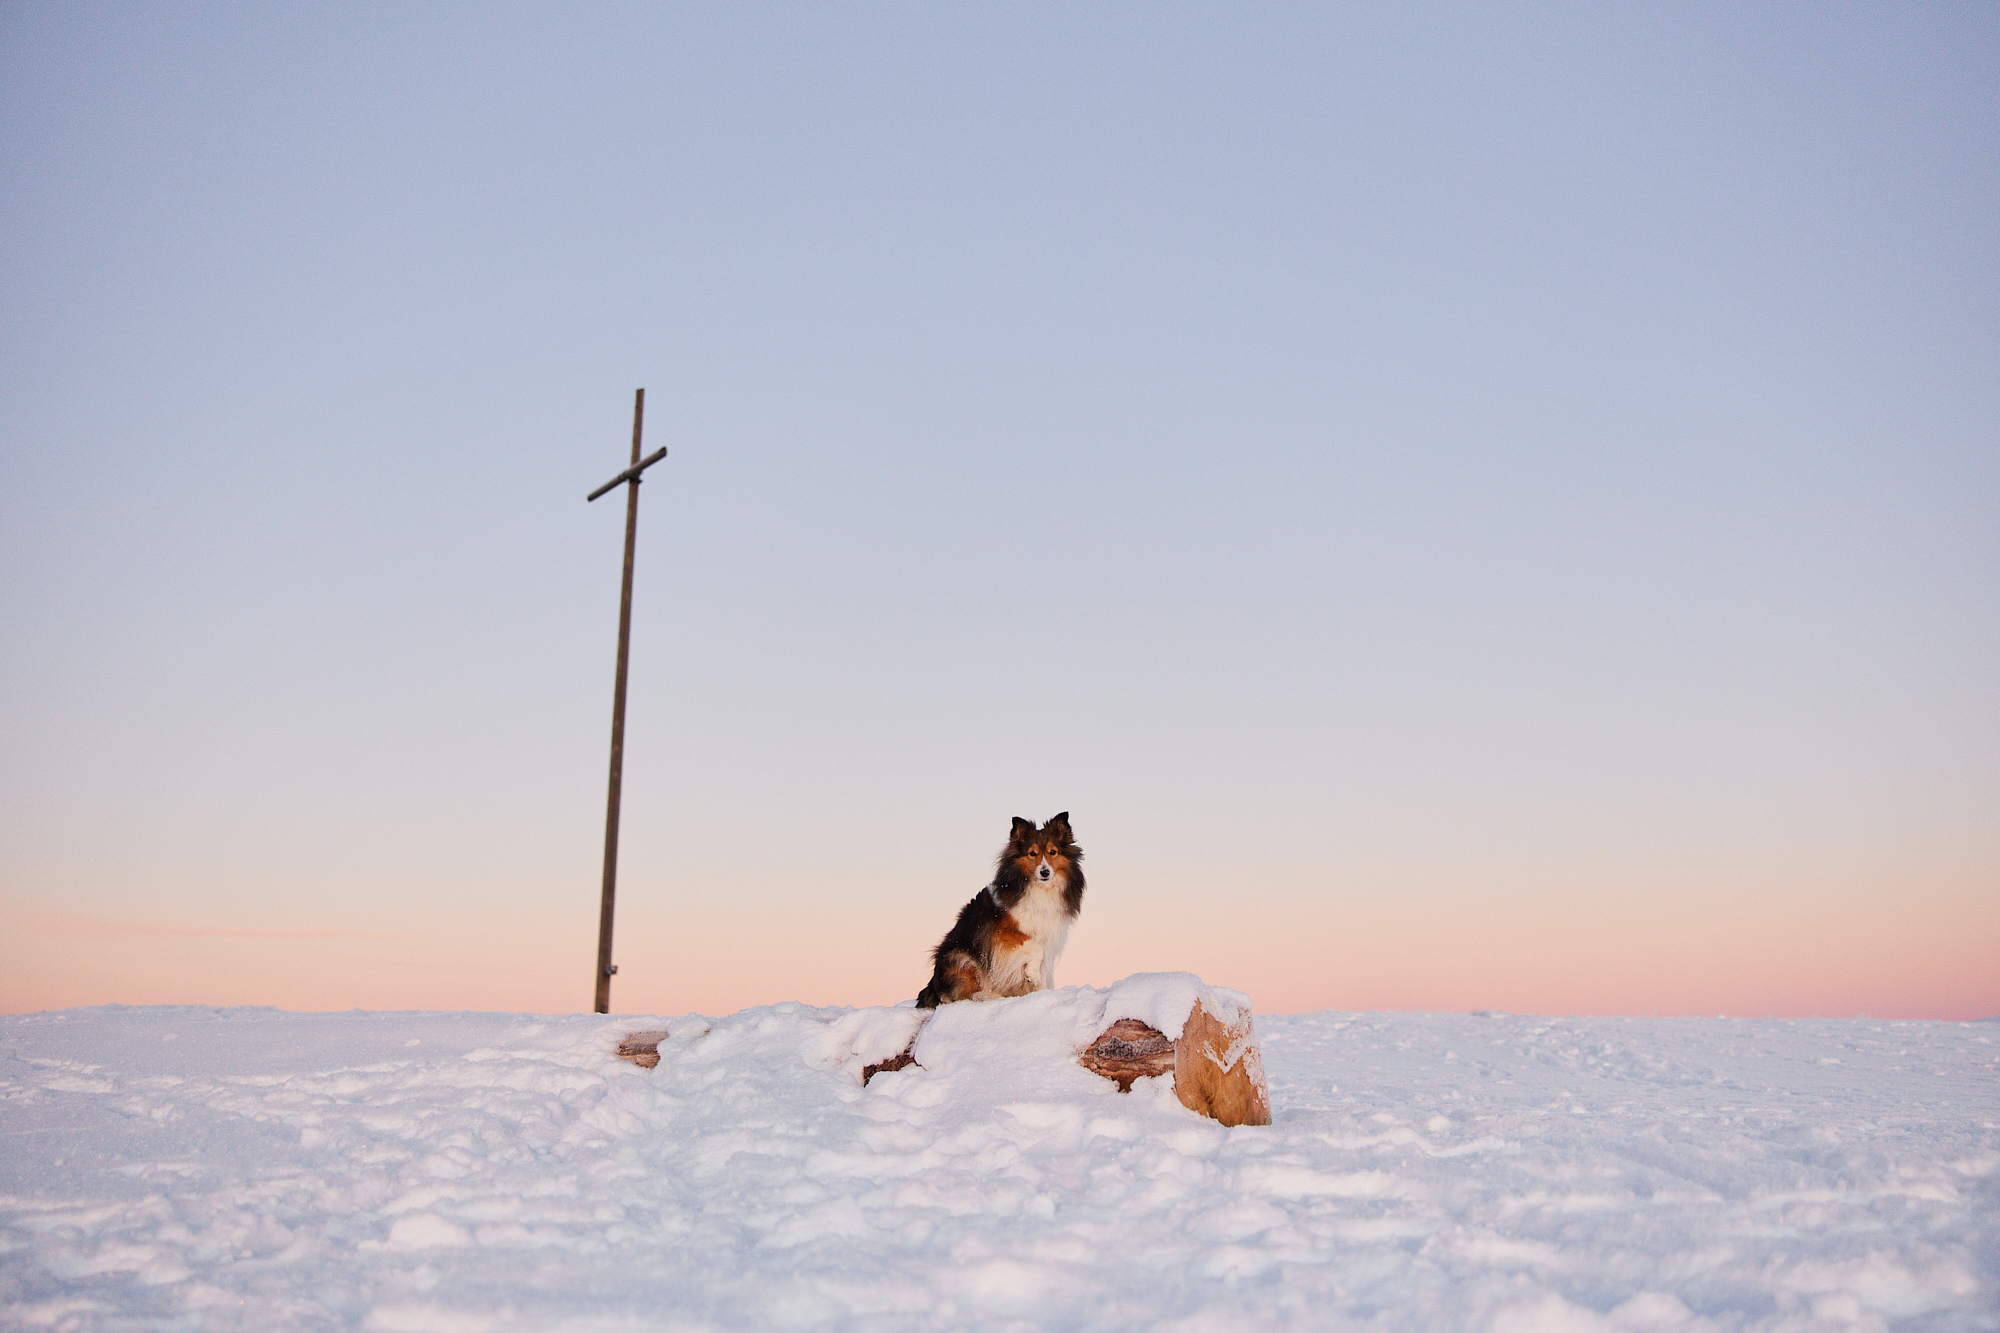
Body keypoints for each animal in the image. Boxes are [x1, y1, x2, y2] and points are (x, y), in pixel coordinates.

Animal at [916, 808, 1088, 1008]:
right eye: (1032, 853)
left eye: (1053, 852)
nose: (1045, 872)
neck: (1040, 889)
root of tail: (932, 988)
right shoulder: (1003, 934)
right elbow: (1035, 947)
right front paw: (1032, 974)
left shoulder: (1049, 936)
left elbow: (1043, 962)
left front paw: (1040, 989)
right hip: (961, 957)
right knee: (963, 996)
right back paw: (991, 996)